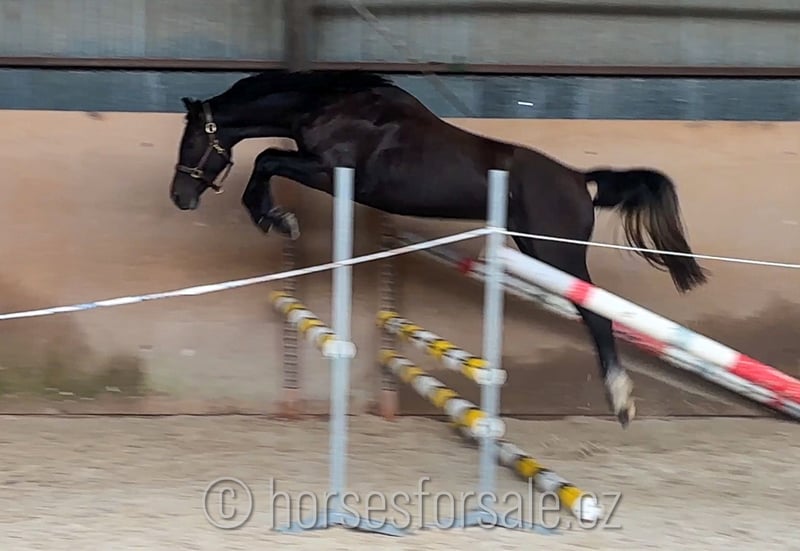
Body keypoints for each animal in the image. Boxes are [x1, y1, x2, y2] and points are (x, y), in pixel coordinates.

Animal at [169, 69, 708, 428]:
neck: (335, 106)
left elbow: (266, 159)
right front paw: (275, 218)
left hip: (556, 255)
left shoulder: (329, 170)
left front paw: (276, 218)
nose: (180, 196)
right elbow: (267, 160)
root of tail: (579, 179)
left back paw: (621, 400)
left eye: (191, 141)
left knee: (595, 314)